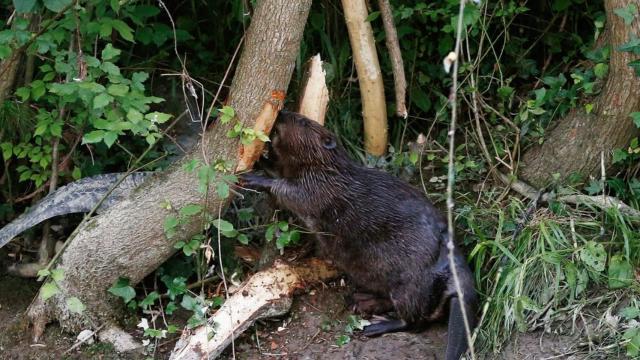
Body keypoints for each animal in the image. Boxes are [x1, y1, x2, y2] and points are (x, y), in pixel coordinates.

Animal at [242, 110, 478, 360]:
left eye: (302, 121)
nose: (282, 113)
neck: (332, 169)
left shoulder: (321, 187)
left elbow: (291, 192)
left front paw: (254, 178)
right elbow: (279, 172)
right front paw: (259, 161)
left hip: (410, 284)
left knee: (414, 322)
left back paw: (376, 324)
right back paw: (361, 301)